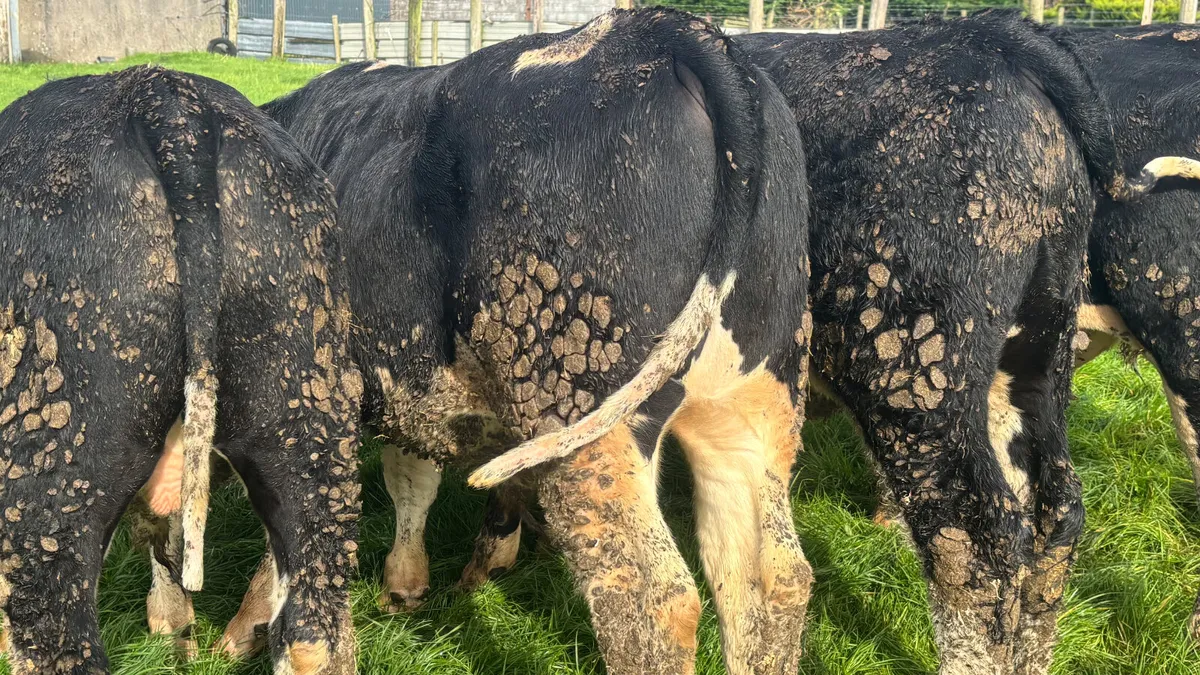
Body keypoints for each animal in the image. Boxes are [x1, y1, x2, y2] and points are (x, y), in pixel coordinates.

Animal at [211, 9, 814, 675]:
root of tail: (665, 27)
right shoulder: (405, 382)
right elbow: (410, 476)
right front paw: (407, 585)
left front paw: (241, 627)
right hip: (754, 396)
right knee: (771, 576)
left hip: (577, 401)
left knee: (650, 592)